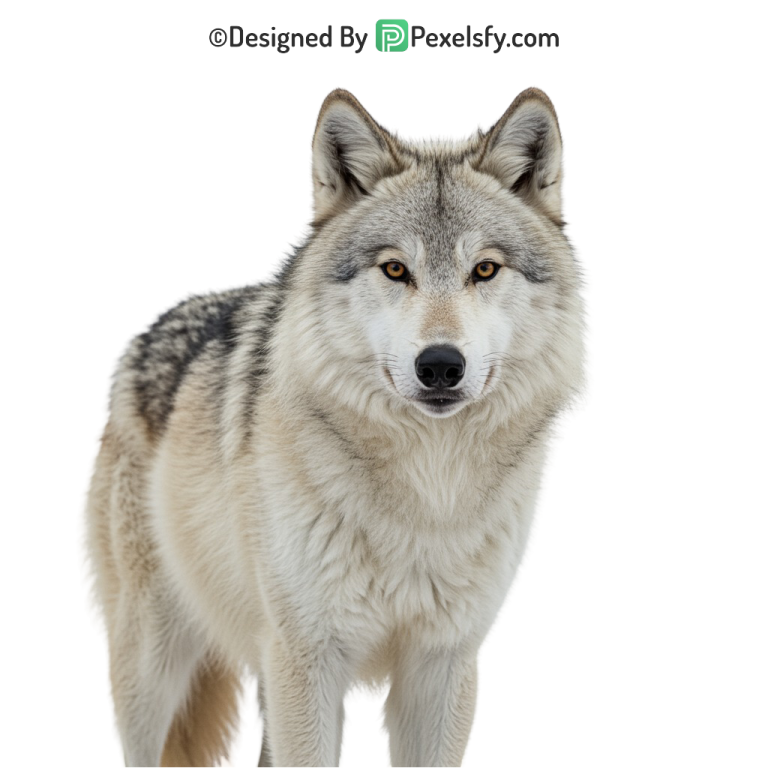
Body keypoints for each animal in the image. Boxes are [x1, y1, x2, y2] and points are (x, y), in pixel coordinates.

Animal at [77, 85, 594, 767]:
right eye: (395, 270)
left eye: (485, 270)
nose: (440, 365)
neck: (426, 496)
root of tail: (145, 331)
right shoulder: (308, 662)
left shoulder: (445, 667)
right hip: (152, 674)